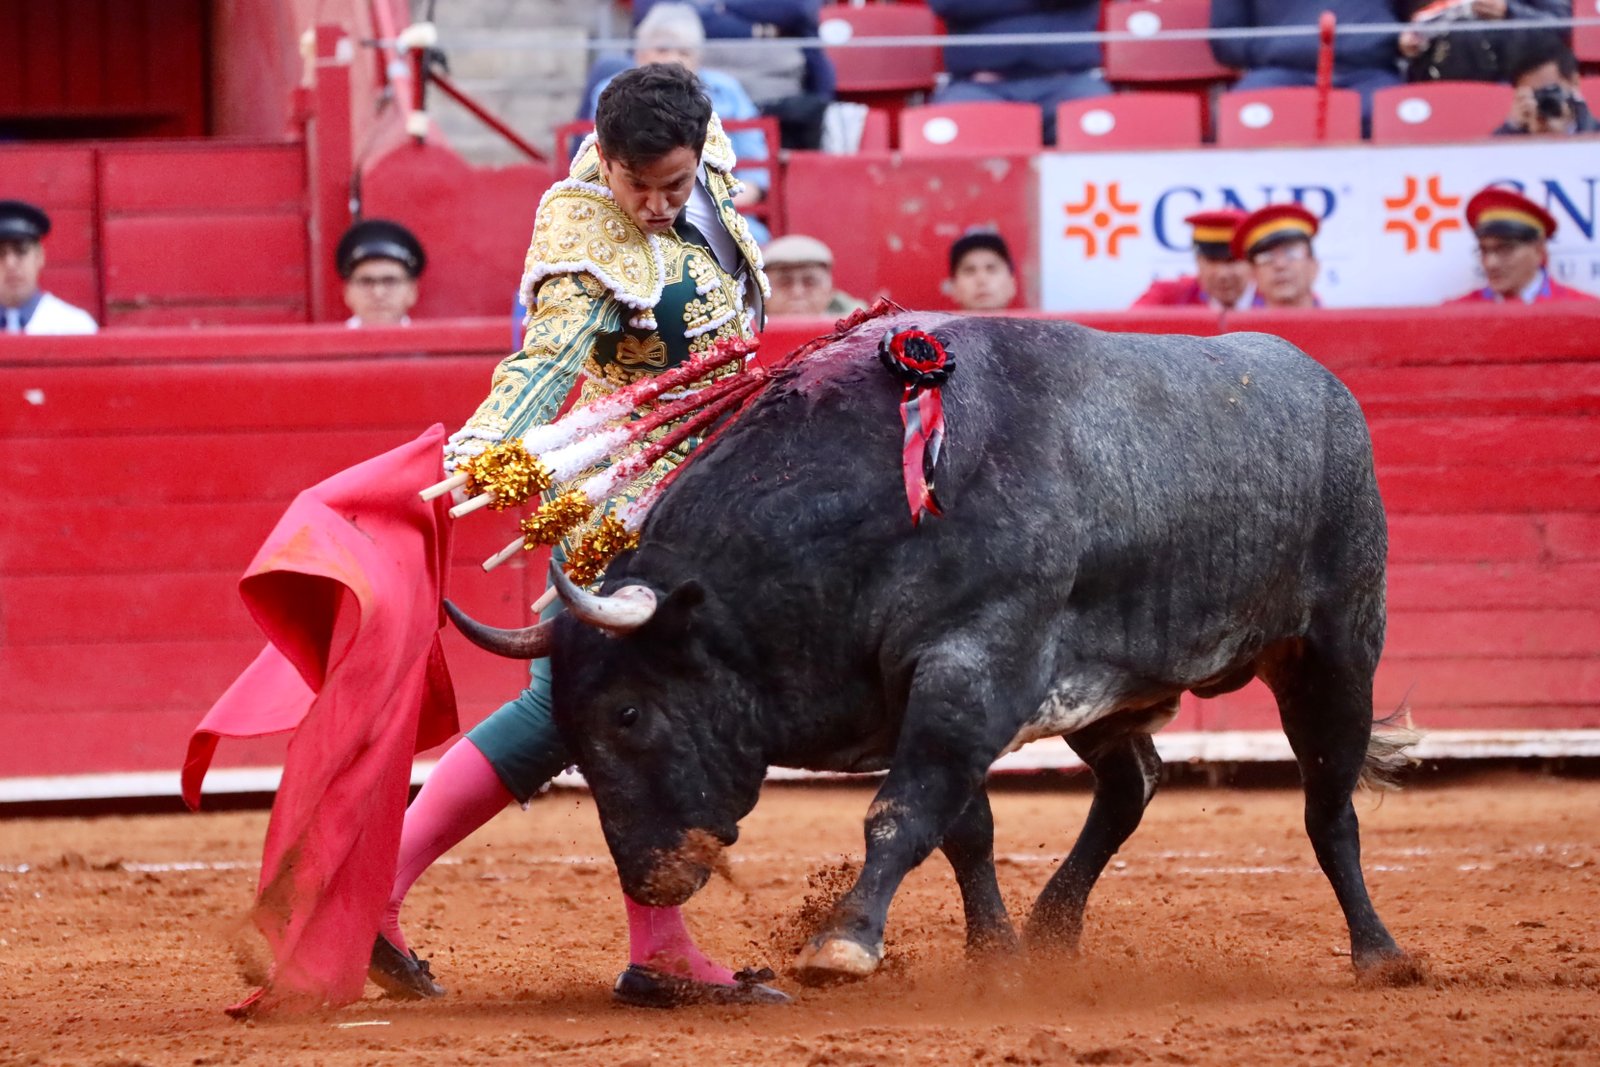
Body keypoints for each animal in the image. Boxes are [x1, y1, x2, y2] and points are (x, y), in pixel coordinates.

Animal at [446, 312, 1419, 986]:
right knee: (1133, 781)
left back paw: (1380, 953)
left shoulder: (971, 670)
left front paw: (842, 942)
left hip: (1338, 650)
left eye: (629, 711)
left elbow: (902, 810)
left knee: (1328, 805)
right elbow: (965, 827)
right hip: (1104, 693)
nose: (650, 877)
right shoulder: (937, 692)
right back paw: (1054, 929)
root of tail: (1324, 384)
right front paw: (997, 954)